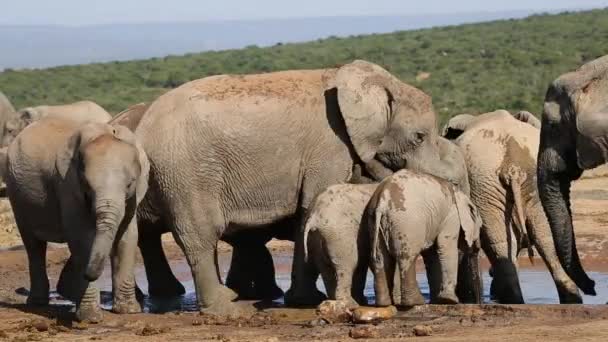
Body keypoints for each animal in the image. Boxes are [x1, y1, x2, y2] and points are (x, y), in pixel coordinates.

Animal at [5, 117, 149, 324]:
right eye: (87, 186)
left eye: (130, 183)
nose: (88, 274)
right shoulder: (67, 185)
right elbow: (82, 238)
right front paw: (90, 319)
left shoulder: (133, 196)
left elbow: (127, 237)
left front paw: (129, 311)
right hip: (17, 196)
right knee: (33, 245)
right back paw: (37, 303)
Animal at [89, 59, 446, 316]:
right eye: (419, 137)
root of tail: (142, 129)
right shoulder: (329, 147)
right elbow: (311, 205)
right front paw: (305, 301)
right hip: (186, 172)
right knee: (200, 233)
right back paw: (224, 307)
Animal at [364, 170, 482, 306]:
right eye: (480, 227)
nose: (478, 303)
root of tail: (382, 200)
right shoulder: (452, 215)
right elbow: (445, 247)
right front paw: (449, 300)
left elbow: (432, 255)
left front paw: (437, 301)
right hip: (406, 222)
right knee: (407, 257)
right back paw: (416, 302)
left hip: (373, 222)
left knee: (381, 259)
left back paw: (384, 304)